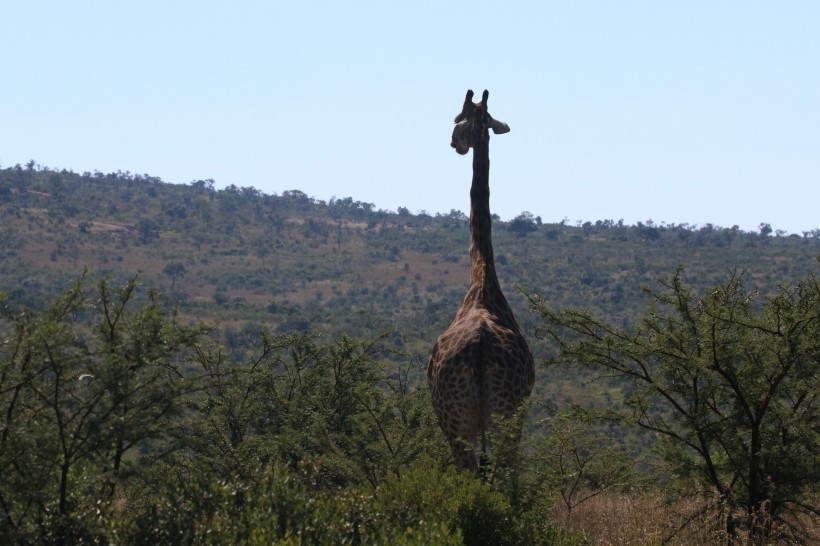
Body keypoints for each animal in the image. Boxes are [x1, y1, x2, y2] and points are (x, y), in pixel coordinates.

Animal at [426, 89, 536, 468]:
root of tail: (478, 350)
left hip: (463, 425)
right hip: (495, 420)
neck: (482, 276)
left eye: (458, 119)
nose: (454, 143)